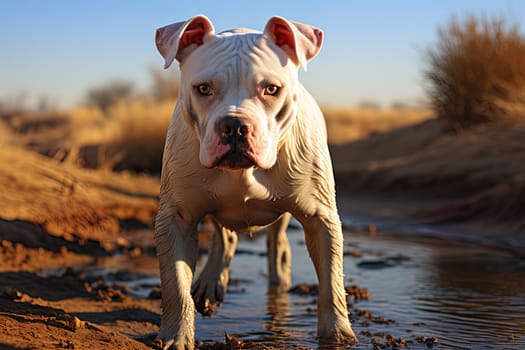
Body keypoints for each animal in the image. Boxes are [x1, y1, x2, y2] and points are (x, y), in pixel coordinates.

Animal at [154, 15, 354, 348]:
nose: (234, 126)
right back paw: (211, 281)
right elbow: (175, 285)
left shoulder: (321, 218)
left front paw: (337, 333)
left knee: (277, 242)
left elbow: (331, 281)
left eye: (271, 89)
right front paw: (176, 336)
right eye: (203, 88)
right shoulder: (176, 218)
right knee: (224, 238)